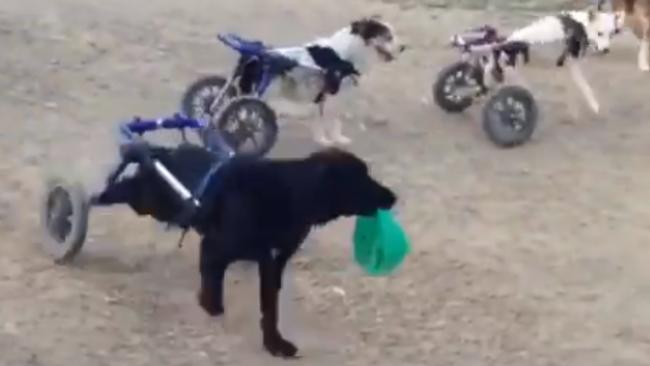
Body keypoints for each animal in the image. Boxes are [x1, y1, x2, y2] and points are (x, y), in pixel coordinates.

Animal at [91, 145, 394, 358]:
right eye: (361, 177)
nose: (393, 197)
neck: (292, 192)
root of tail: (165, 152)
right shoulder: (214, 249)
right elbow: (214, 293)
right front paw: (210, 309)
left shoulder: (272, 263)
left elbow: (269, 308)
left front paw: (274, 343)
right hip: (147, 200)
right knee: (114, 188)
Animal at [260, 16, 402, 146]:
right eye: (388, 37)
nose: (403, 47)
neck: (344, 57)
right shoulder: (334, 97)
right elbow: (334, 122)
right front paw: (332, 139)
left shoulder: (323, 97)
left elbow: (321, 121)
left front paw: (323, 139)